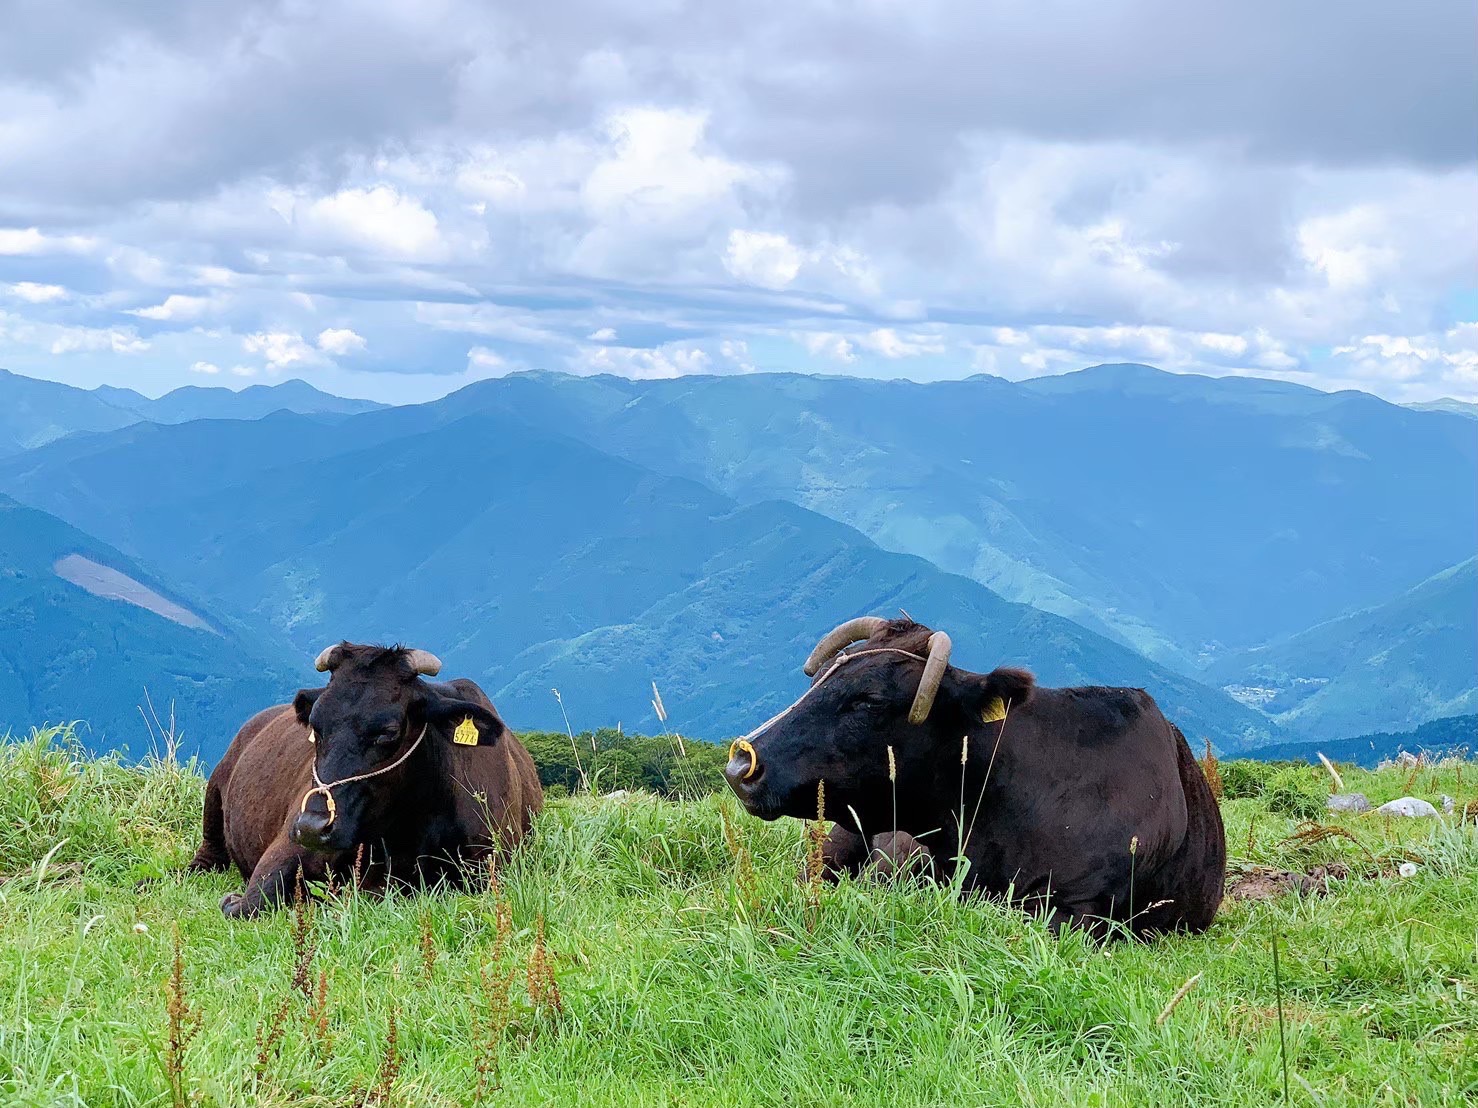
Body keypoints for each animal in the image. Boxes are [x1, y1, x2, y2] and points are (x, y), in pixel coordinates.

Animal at [190, 641, 543, 921]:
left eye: (388, 731)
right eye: (315, 725)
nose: (313, 826)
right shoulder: (287, 845)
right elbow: (250, 902)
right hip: (214, 795)